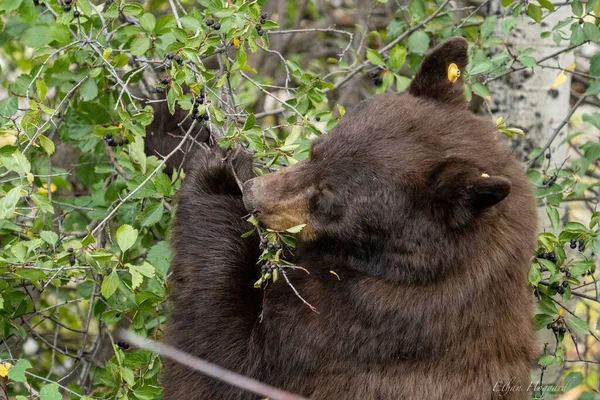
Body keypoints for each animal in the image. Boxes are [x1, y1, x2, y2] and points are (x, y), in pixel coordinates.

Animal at [164, 38, 540, 400]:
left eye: (328, 198)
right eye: (315, 149)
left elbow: (224, 363)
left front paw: (220, 178)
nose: (254, 195)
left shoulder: (354, 328)